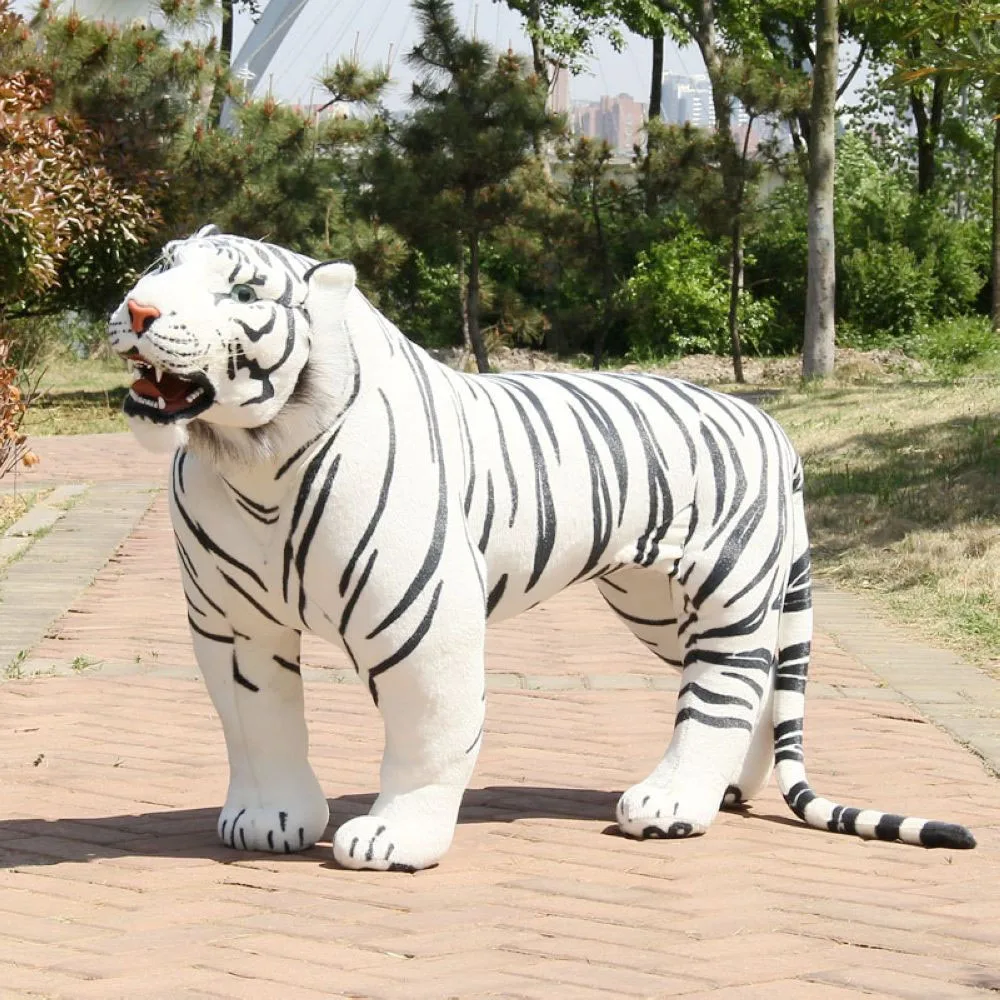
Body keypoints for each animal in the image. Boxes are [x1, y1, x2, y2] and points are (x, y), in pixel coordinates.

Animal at [107, 226, 975, 871]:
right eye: (160, 268)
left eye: (243, 295)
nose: (139, 310)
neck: (253, 456)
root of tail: (772, 423)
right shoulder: (232, 623)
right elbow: (258, 723)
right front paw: (270, 818)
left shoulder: (420, 619)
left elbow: (429, 731)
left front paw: (395, 837)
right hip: (658, 608)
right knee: (759, 688)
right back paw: (728, 790)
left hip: (725, 592)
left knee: (725, 690)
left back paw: (672, 805)